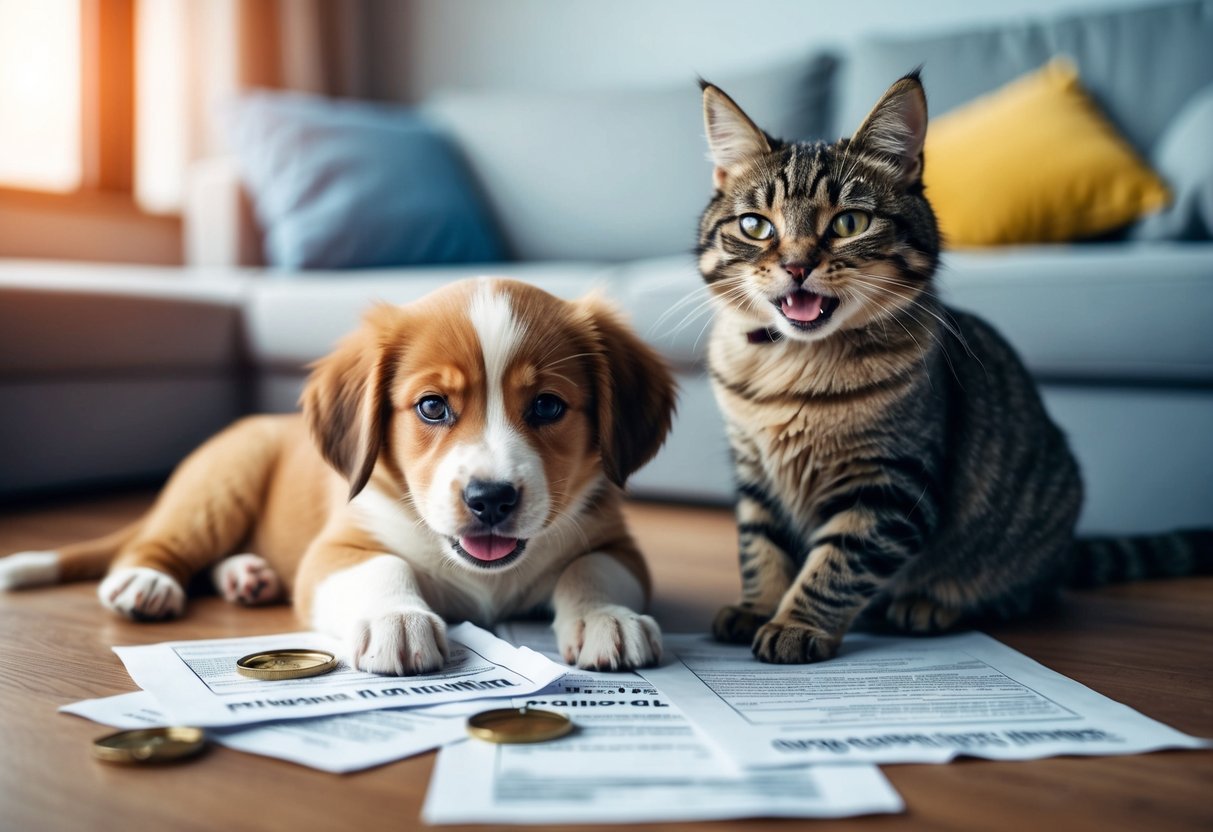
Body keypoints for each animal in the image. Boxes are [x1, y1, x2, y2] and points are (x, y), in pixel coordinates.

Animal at [0, 280, 679, 679]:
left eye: (546, 407)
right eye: (432, 407)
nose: (490, 499)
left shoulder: (617, 542)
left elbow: (590, 569)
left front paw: (606, 618)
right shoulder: (335, 550)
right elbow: (385, 566)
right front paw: (395, 620)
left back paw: (247, 575)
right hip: (220, 485)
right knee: (159, 543)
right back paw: (148, 581)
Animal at [698, 74, 1208, 669]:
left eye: (849, 222)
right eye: (755, 226)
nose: (797, 265)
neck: (793, 368)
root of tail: (1064, 554)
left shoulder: (891, 485)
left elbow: (836, 564)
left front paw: (795, 624)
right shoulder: (754, 473)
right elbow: (761, 547)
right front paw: (757, 608)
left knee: (1021, 593)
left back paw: (930, 605)